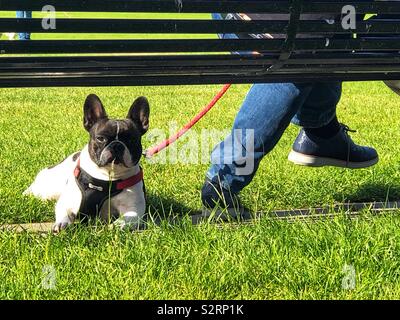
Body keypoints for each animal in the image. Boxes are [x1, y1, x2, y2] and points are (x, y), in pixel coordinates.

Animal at [25, 94, 150, 231]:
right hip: (48, 188)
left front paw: (114, 226)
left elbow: (128, 218)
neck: (109, 177)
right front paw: (61, 223)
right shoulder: (68, 201)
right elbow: (65, 212)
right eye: (101, 138)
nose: (117, 145)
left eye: (131, 140)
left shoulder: (134, 208)